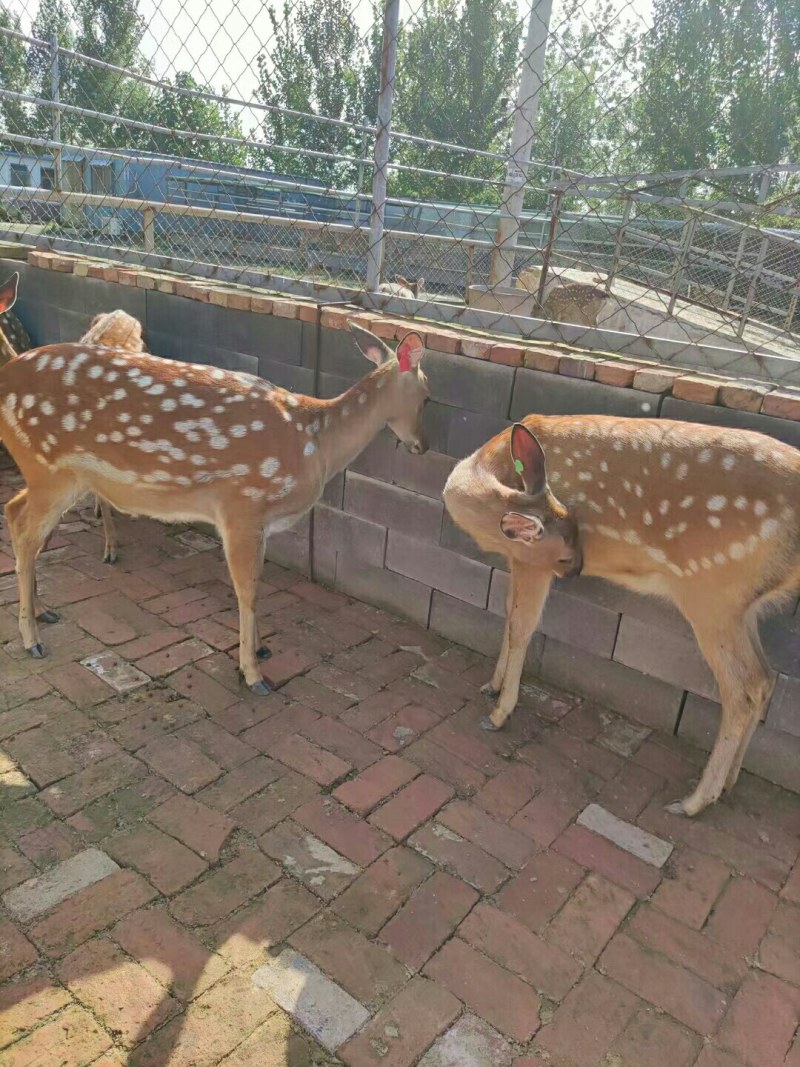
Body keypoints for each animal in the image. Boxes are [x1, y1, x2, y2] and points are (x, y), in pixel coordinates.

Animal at [0, 272, 429, 693]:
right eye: (428, 396)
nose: (422, 446)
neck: (315, 441)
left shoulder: (259, 521)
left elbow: (256, 582)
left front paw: (260, 649)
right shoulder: (242, 505)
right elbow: (247, 587)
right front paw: (253, 673)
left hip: (54, 475)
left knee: (16, 513)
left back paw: (42, 611)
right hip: (49, 467)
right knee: (22, 527)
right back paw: (32, 639)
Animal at [444, 414, 800, 816]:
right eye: (567, 550)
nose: (578, 570)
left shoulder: (531, 563)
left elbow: (522, 626)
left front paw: (499, 712)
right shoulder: (519, 559)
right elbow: (508, 614)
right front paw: (492, 685)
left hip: (711, 591)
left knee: (743, 687)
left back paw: (693, 801)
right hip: (741, 604)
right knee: (766, 678)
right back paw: (729, 782)